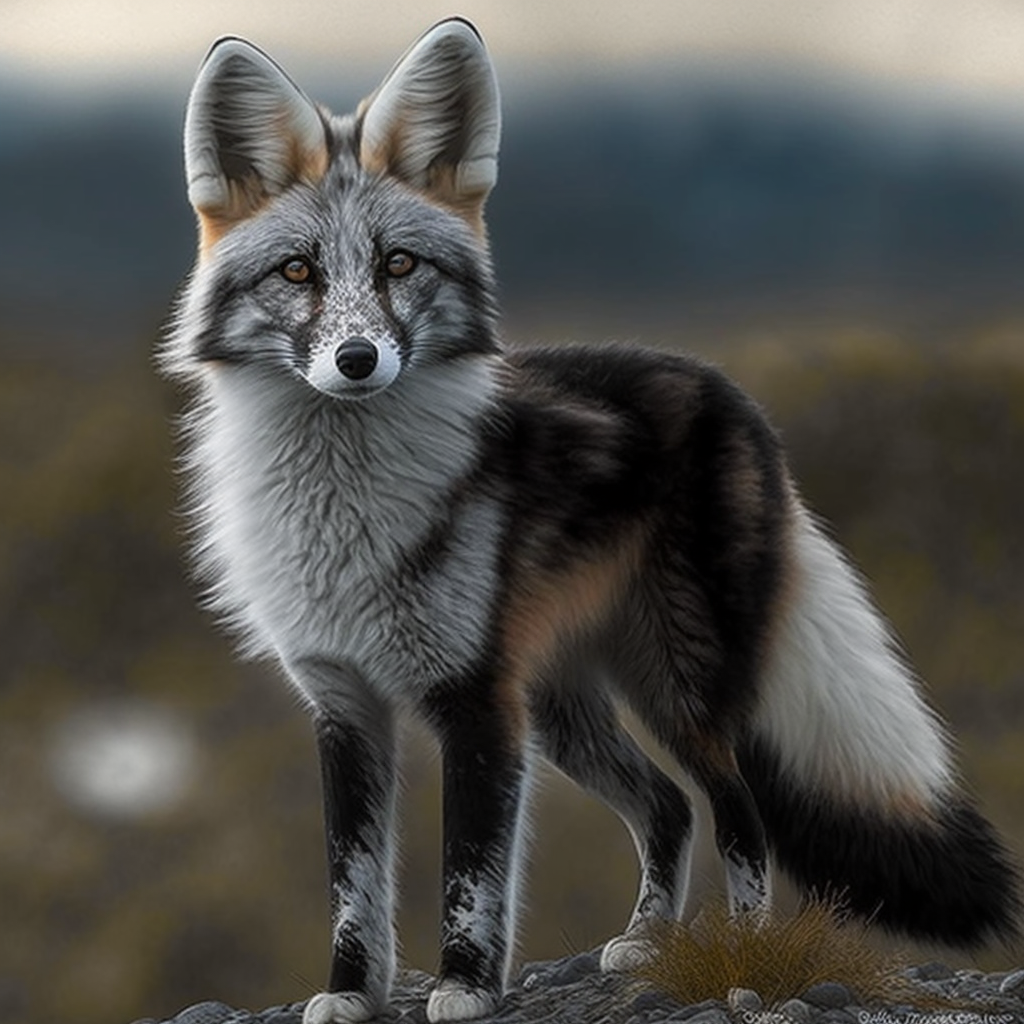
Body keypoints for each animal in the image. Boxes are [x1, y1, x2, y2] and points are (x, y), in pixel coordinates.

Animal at [164, 16, 1021, 1024]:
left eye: (398, 265)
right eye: (298, 271)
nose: (358, 359)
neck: (344, 519)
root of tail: (729, 390)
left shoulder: (476, 700)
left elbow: (471, 873)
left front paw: (463, 987)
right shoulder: (344, 704)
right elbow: (353, 883)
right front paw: (348, 994)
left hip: (679, 688)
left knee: (738, 811)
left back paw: (745, 951)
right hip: (567, 707)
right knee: (668, 807)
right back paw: (648, 940)